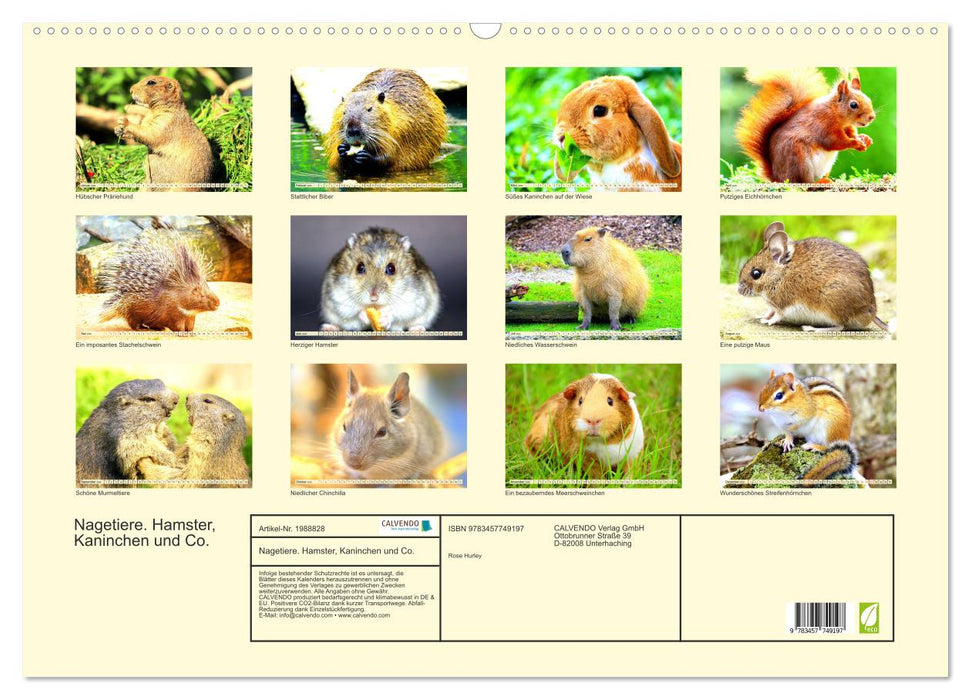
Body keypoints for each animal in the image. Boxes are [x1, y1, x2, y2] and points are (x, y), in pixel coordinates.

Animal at [737, 221, 890, 332]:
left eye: (756, 274)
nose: (738, 290)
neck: (781, 274)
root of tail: (871, 312)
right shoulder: (773, 304)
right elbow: (770, 310)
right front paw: (761, 316)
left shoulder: (784, 303)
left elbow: (777, 315)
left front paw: (768, 321)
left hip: (830, 306)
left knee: (840, 326)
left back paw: (812, 328)